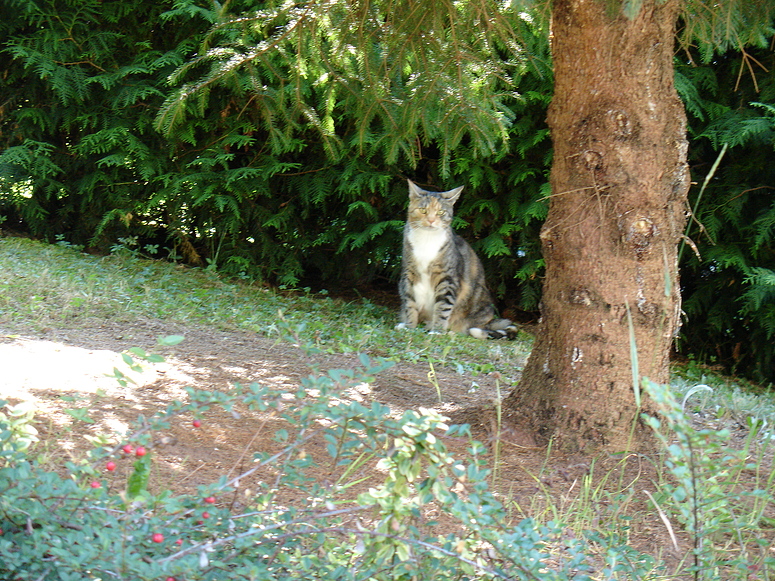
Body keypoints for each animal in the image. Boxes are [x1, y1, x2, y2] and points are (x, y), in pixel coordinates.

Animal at [400, 179, 516, 338]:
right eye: (423, 210)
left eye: (440, 212)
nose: (431, 220)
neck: (426, 239)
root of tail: (490, 321)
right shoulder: (408, 274)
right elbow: (409, 303)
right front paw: (409, 327)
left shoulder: (448, 278)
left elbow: (443, 306)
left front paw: (436, 331)